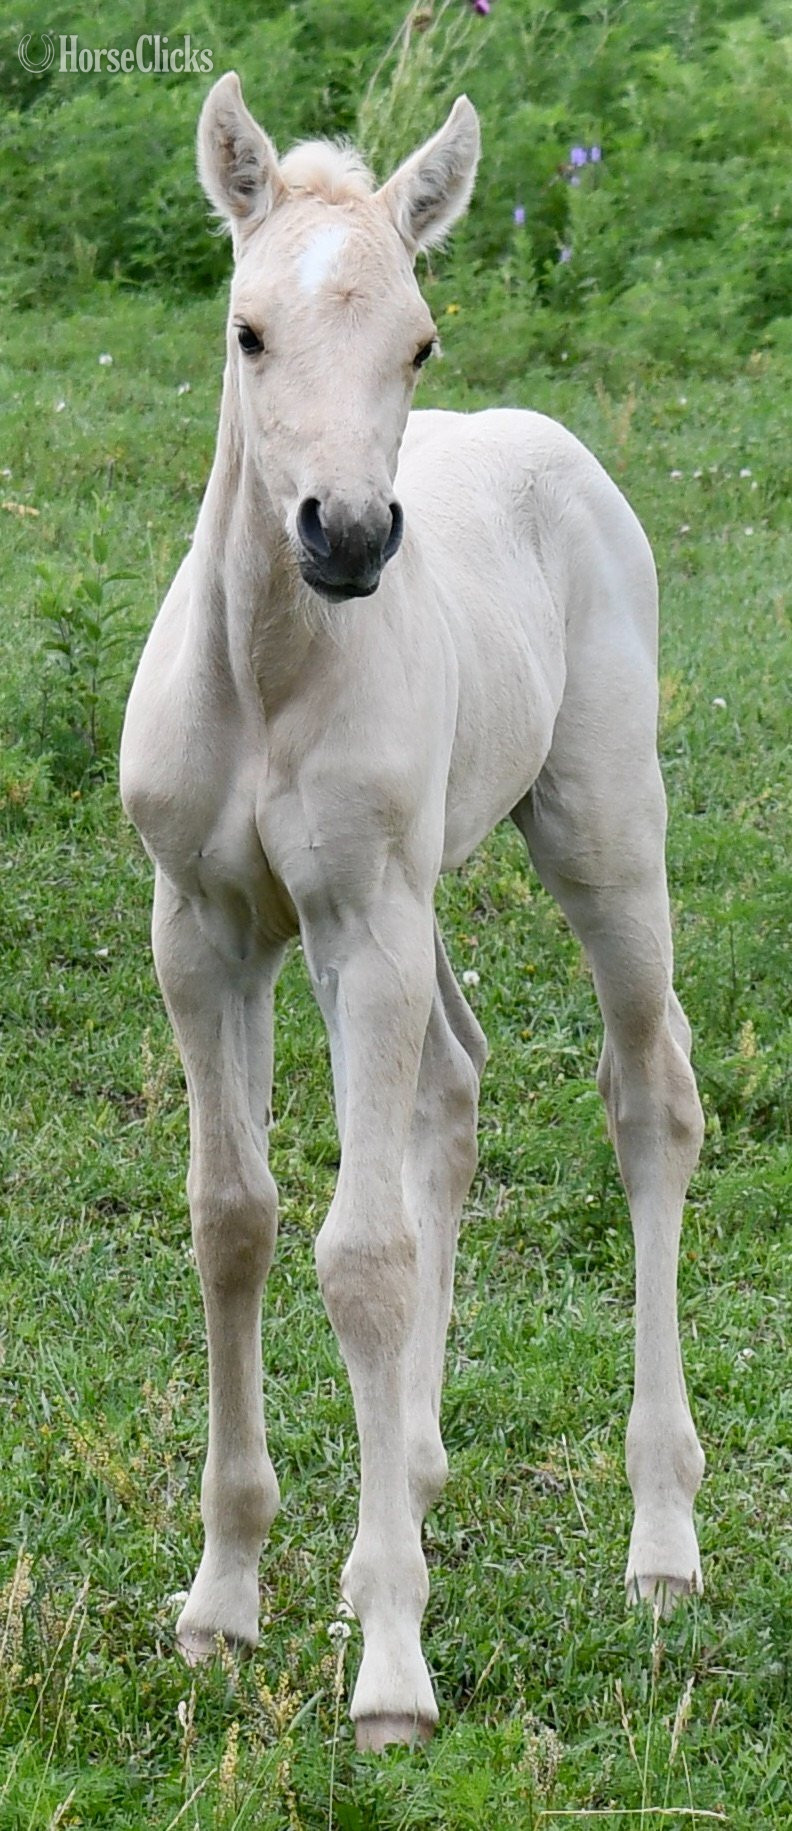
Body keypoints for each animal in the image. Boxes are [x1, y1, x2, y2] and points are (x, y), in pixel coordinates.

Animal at [120, 73, 705, 1751]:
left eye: (419, 341)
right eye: (248, 330)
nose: (350, 535)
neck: (268, 670)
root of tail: (547, 443)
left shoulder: (360, 921)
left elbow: (361, 1253)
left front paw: (389, 1665)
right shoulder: (208, 928)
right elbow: (234, 1220)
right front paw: (224, 1601)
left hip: (597, 828)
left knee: (651, 1092)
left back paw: (661, 1540)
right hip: (410, 890)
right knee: (454, 1079)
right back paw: (421, 1475)